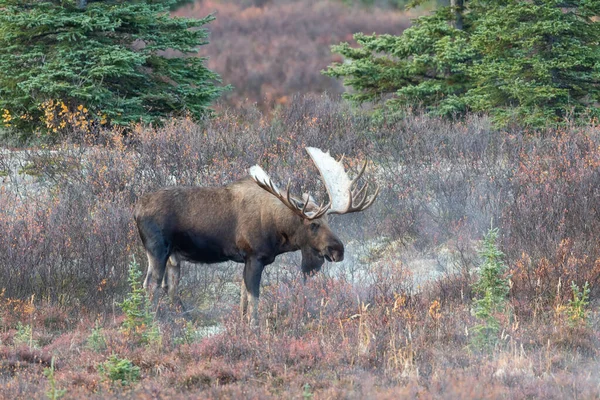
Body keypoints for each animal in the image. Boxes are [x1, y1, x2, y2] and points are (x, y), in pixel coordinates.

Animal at [136, 148, 380, 324]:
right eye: (314, 224)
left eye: (330, 222)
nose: (338, 250)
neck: (279, 233)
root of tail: (136, 210)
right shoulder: (255, 257)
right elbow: (254, 299)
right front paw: (255, 328)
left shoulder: (246, 260)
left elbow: (243, 298)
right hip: (157, 250)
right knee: (150, 285)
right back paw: (154, 323)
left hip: (174, 256)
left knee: (170, 287)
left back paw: (180, 319)